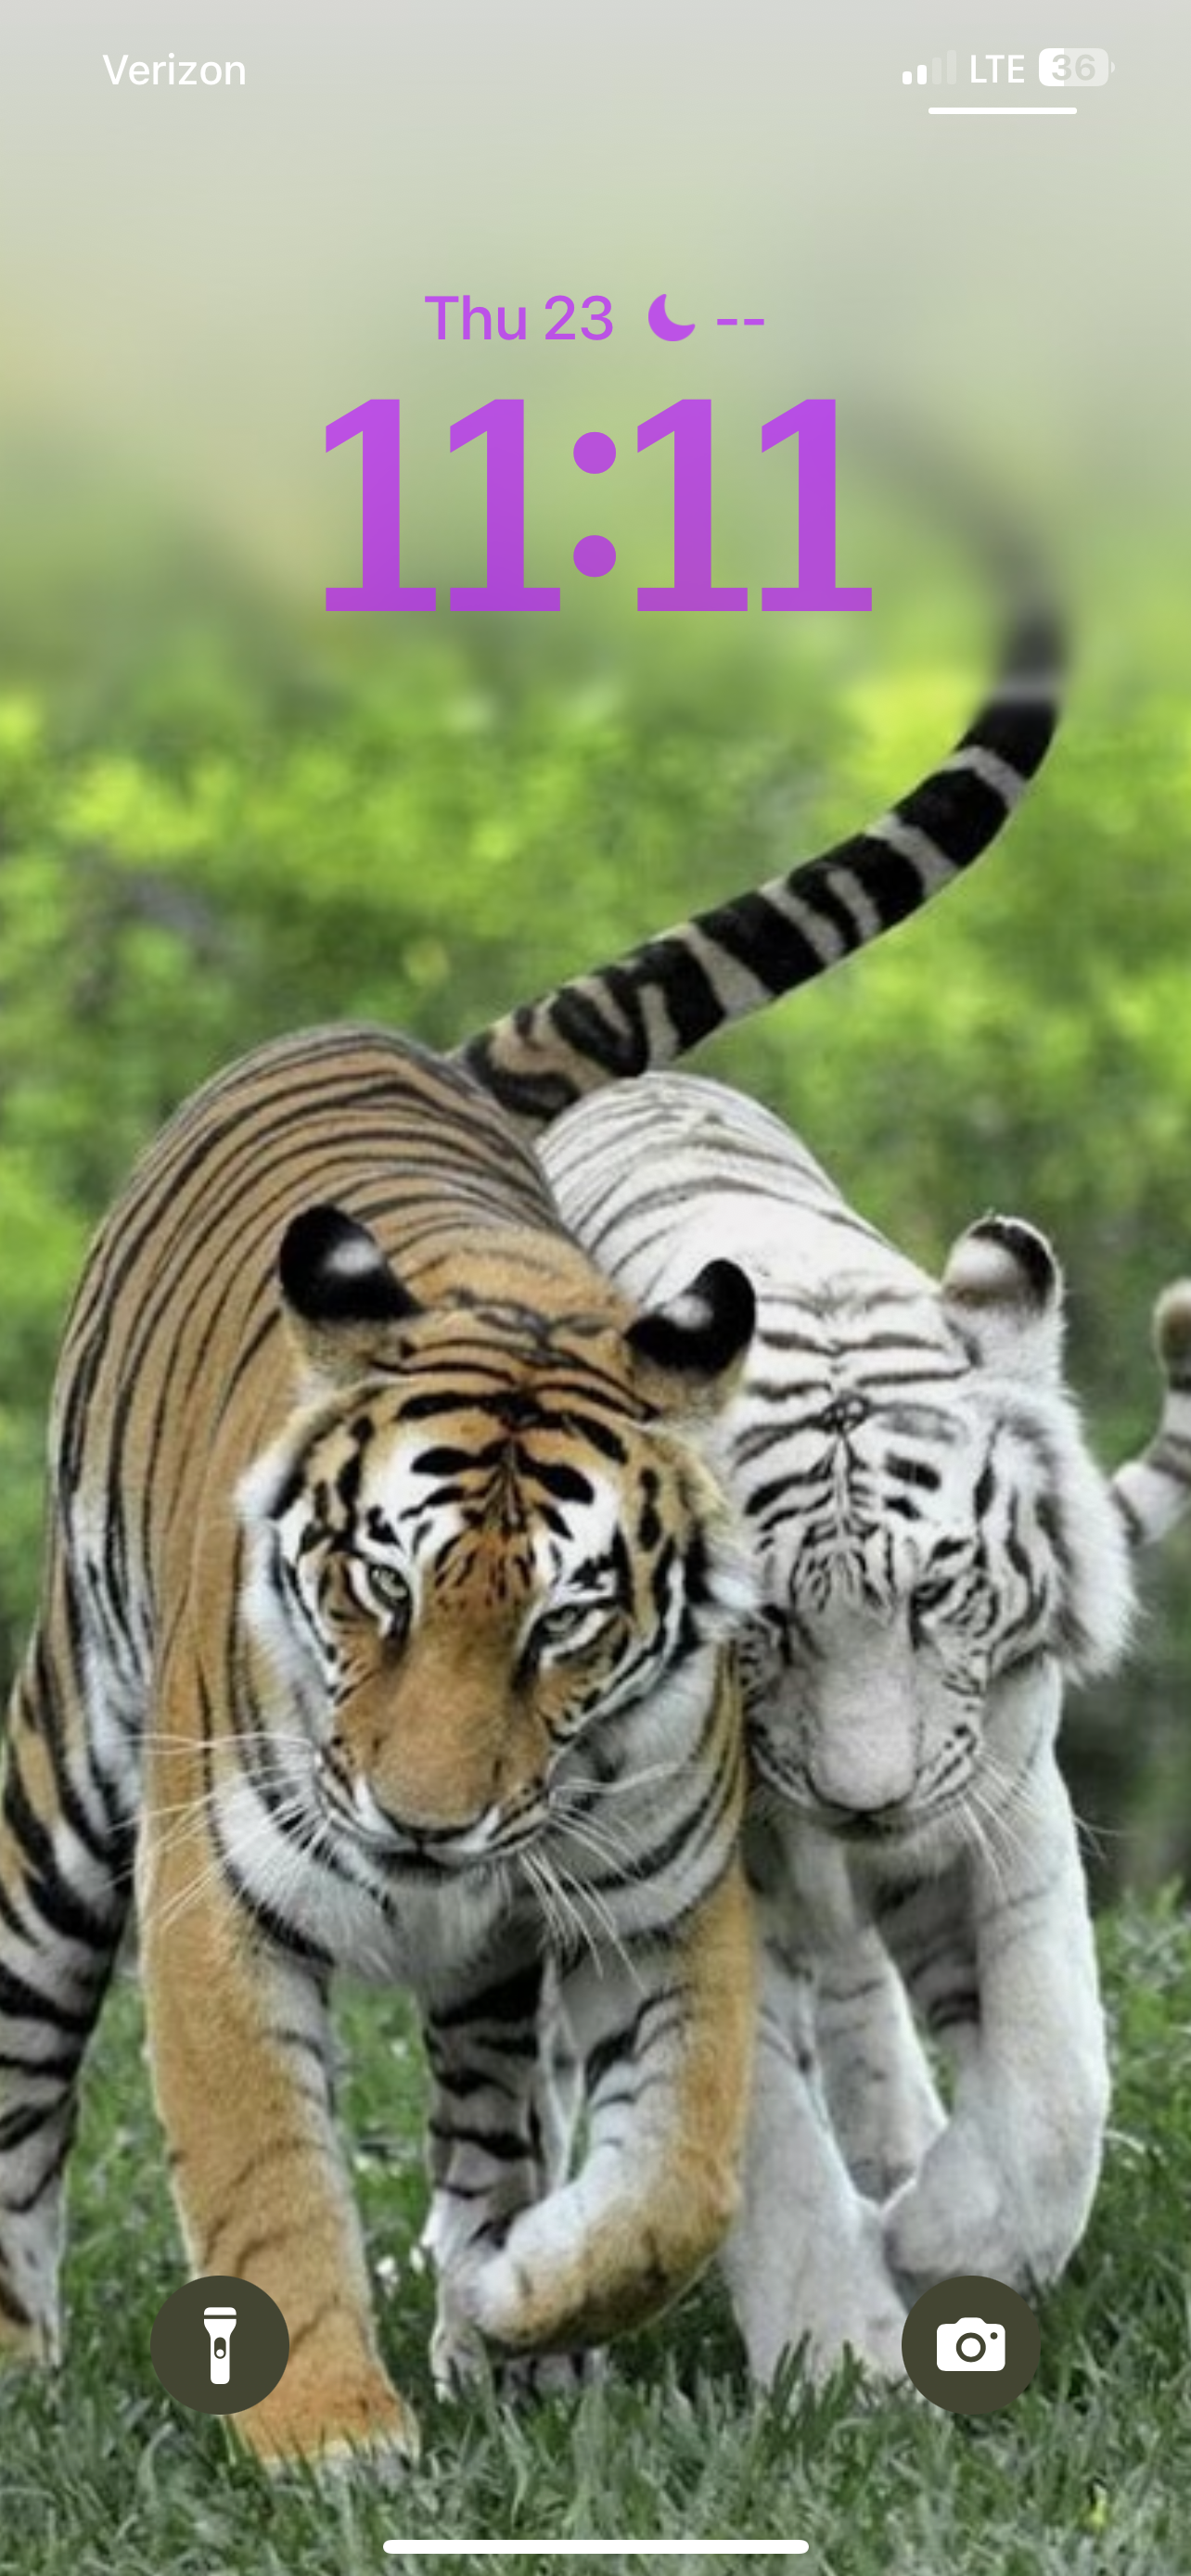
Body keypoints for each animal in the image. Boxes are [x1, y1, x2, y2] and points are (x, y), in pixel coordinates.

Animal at [0, 587, 1062, 2465]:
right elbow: (269, 2176)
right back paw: (16, 2347)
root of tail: (400, 1043)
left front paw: (521, 2296)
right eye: (373, 1590)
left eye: (566, 1624)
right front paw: (330, 2437)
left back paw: (511, 2332)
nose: (424, 1826)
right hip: (67, 1783)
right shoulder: (214, 1902)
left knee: (488, 2108)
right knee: (22, 2072)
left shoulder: (669, 1906)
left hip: (493, 1970)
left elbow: (681, 2179)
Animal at [537, 1069, 1191, 2385]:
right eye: (764, 1622)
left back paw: (899, 2158)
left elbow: (1055, 2082)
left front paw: (944, 2239)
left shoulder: (1000, 1803)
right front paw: (843, 2363)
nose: (866, 1800)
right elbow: (764, 2139)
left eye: (935, 1594)